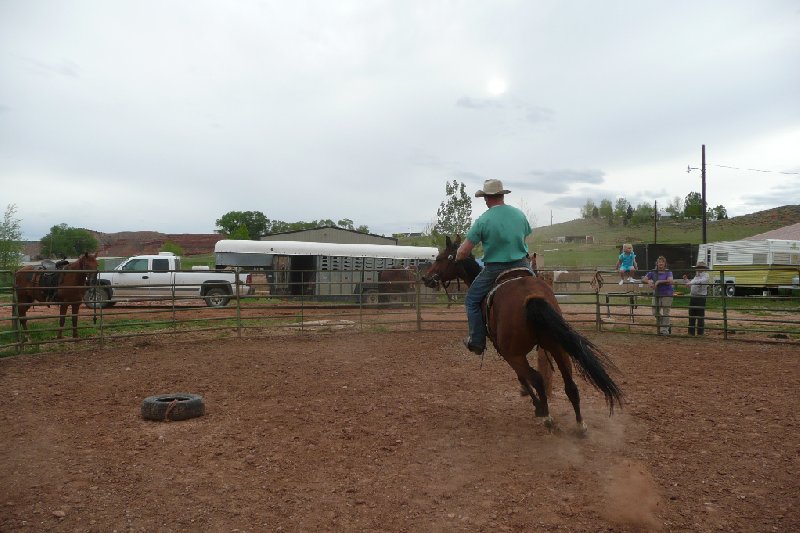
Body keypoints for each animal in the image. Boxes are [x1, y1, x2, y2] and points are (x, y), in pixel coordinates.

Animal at [422, 236, 620, 432]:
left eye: (439, 258)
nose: (426, 278)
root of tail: (531, 298)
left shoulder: (504, 351)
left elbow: (522, 377)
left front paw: (536, 405)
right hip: (557, 347)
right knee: (570, 384)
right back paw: (579, 424)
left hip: (514, 353)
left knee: (537, 378)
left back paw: (546, 415)